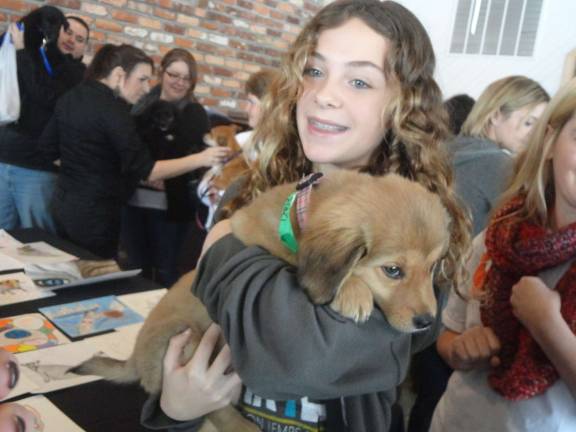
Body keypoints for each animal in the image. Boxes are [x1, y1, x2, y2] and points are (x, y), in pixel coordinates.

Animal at [72, 170, 450, 430]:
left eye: (433, 267)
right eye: (393, 270)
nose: (427, 322)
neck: (297, 218)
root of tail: (135, 360)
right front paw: (352, 292)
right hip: (188, 337)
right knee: (212, 407)